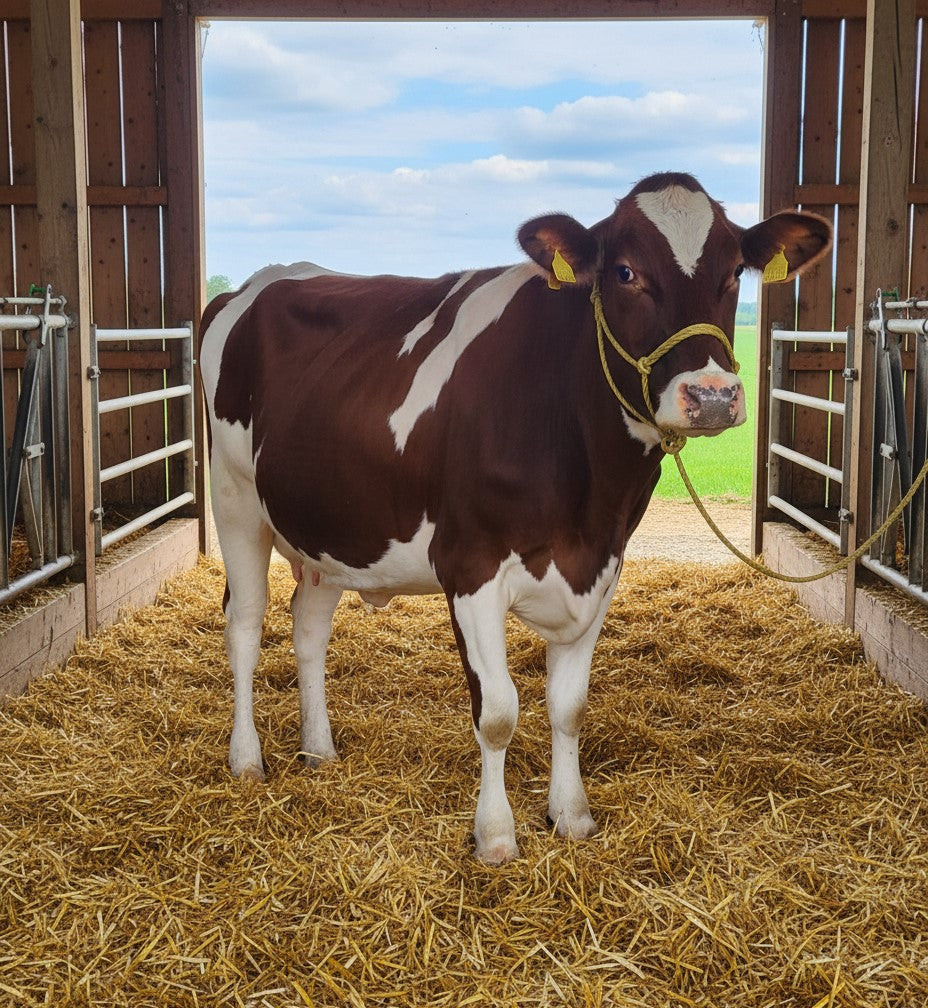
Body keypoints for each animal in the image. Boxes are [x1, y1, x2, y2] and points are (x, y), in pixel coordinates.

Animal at [199, 172, 830, 864]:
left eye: (735, 272)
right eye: (625, 271)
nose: (713, 396)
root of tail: (256, 283)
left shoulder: (601, 567)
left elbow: (569, 706)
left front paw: (571, 815)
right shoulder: (470, 566)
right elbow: (499, 711)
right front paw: (496, 835)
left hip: (326, 530)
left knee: (308, 627)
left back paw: (319, 750)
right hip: (235, 501)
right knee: (245, 625)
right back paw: (246, 760)